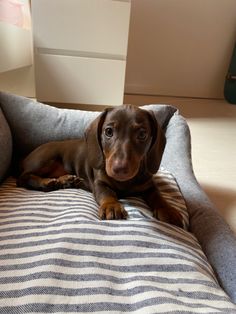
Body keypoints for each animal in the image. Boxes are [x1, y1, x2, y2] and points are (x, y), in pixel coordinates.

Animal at [17, 104, 183, 227]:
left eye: (142, 134)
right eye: (108, 131)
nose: (119, 169)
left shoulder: (148, 184)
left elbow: (157, 195)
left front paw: (168, 210)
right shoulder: (99, 182)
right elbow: (107, 193)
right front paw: (112, 206)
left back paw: (66, 180)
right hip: (46, 159)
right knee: (23, 178)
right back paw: (46, 182)